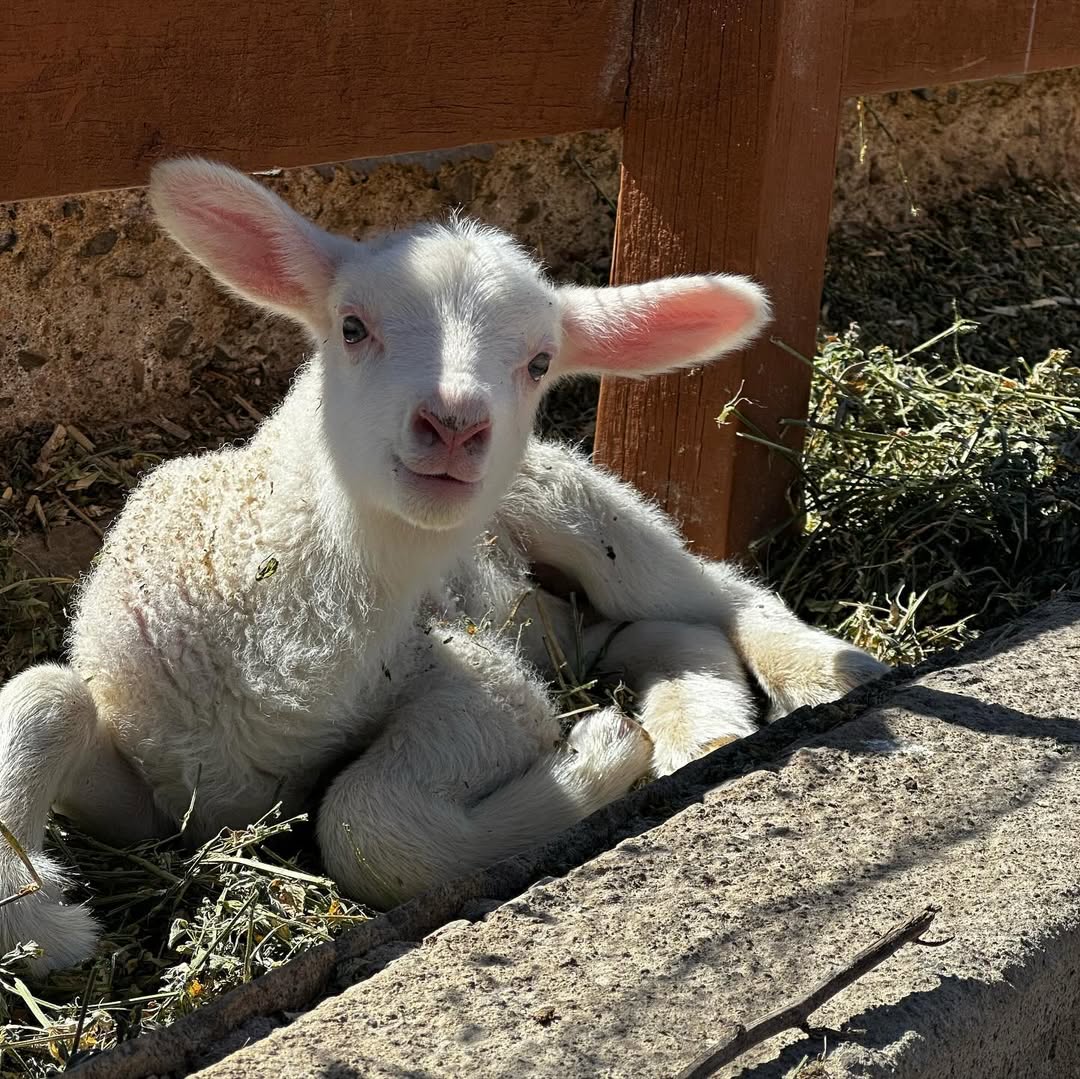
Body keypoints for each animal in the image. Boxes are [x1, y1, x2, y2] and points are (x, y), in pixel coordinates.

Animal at [0, 157, 786, 972]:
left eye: (539, 362)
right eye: (352, 326)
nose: (455, 424)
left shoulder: (473, 678)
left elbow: (363, 821)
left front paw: (597, 758)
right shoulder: (153, 783)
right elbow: (45, 696)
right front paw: (40, 923)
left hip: (579, 508)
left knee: (718, 595)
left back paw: (807, 676)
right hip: (556, 610)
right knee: (655, 630)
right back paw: (703, 726)